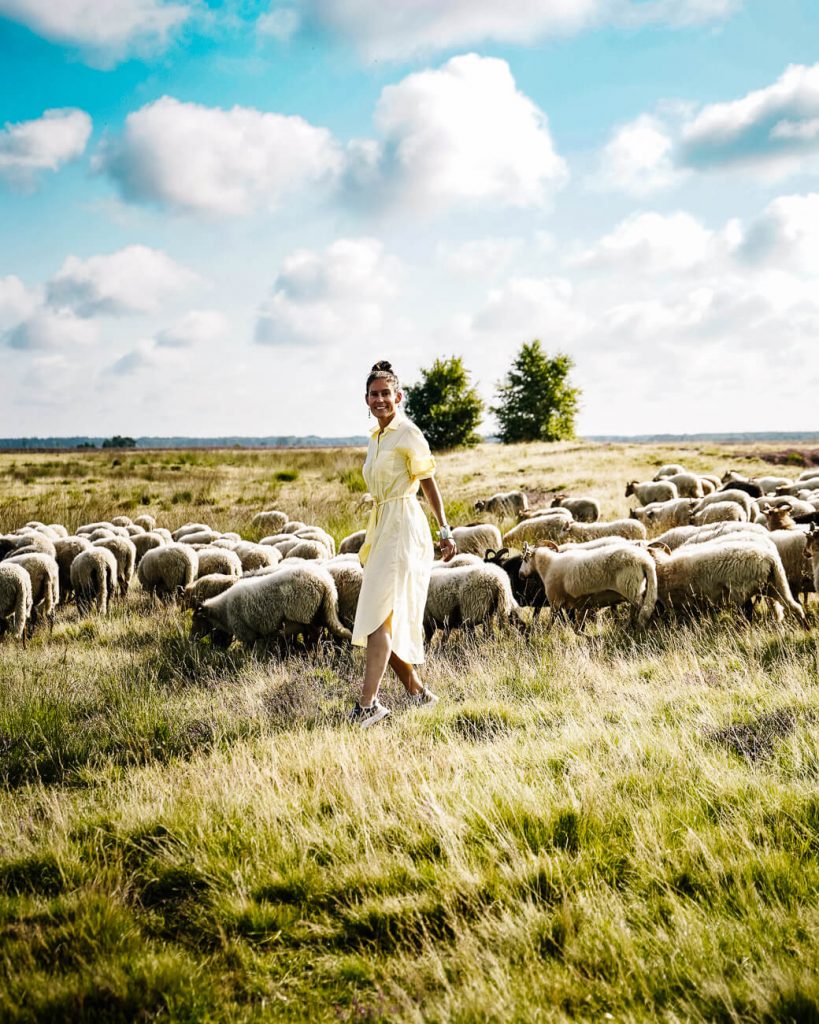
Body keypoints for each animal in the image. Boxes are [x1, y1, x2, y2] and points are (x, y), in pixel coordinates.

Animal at [192, 561, 352, 647]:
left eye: (197, 620)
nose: (191, 639)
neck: (223, 611)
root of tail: (327, 583)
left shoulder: (247, 633)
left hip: (305, 613)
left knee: (314, 638)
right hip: (316, 614)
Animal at [518, 536, 659, 622]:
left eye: (524, 559)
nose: (520, 574)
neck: (548, 565)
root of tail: (644, 561)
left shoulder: (555, 601)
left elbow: (552, 623)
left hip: (632, 590)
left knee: (644, 610)